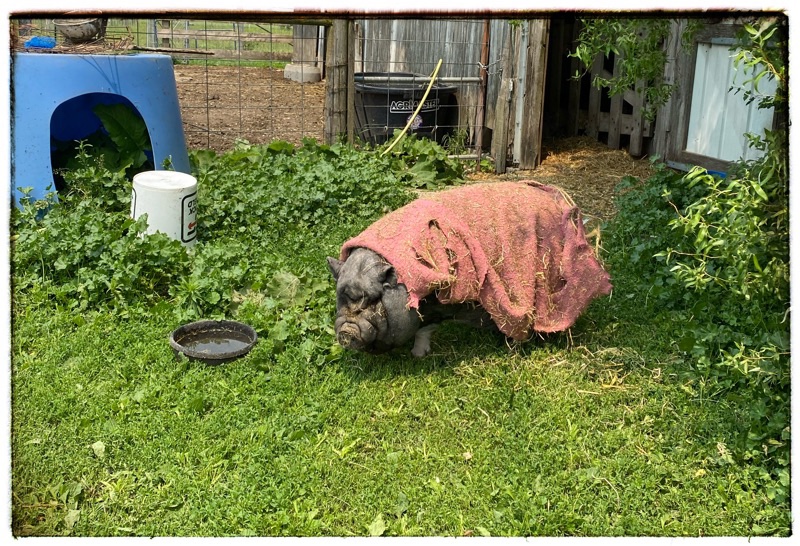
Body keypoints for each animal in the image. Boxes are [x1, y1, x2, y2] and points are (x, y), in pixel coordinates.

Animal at [326, 247, 494, 357]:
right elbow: (424, 329)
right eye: (340, 299)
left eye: (373, 301)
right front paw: (418, 355)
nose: (345, 331)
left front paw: (417, 355)